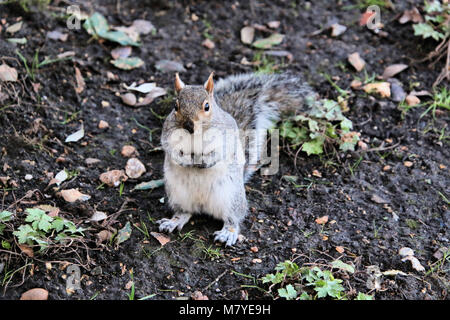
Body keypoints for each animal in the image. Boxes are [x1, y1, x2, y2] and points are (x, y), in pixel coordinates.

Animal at [156, 72, 314, 246]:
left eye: (207, 106)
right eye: (175, 106)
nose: (188, 126)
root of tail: (202, 205)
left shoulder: (227, 136)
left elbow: (222, 152)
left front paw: (206, 161)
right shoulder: (167, 135)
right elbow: (170, 149)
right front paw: (185, 160)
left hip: (231, 198)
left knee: (233, 219)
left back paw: (227, 232)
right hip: (177, 195)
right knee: (185, 212)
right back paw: (174, 221)